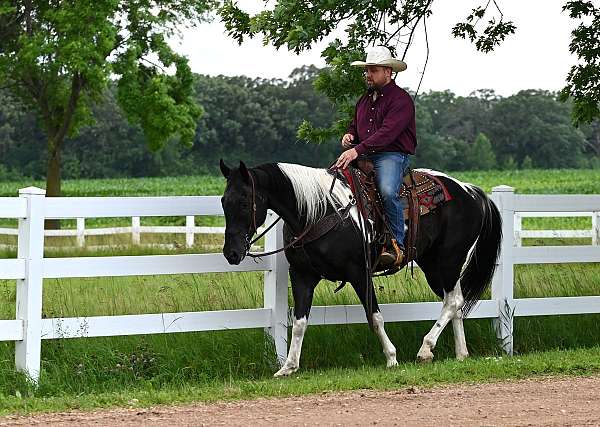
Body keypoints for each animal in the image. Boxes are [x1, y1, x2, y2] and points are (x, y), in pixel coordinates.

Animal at [220, 160, 502, 378]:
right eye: (223, 201)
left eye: (244, 202)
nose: (231, 253)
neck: (318, 211)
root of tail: (472, 191)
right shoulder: (302, 276)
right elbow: (299, 322)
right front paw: (288, 367)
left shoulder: (359, 273)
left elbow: (374, 317)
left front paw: (391, 358)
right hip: (432, 264)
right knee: (454, 301)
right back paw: (460, 353)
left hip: (449, 259)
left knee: (453, 301)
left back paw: (425, 349)